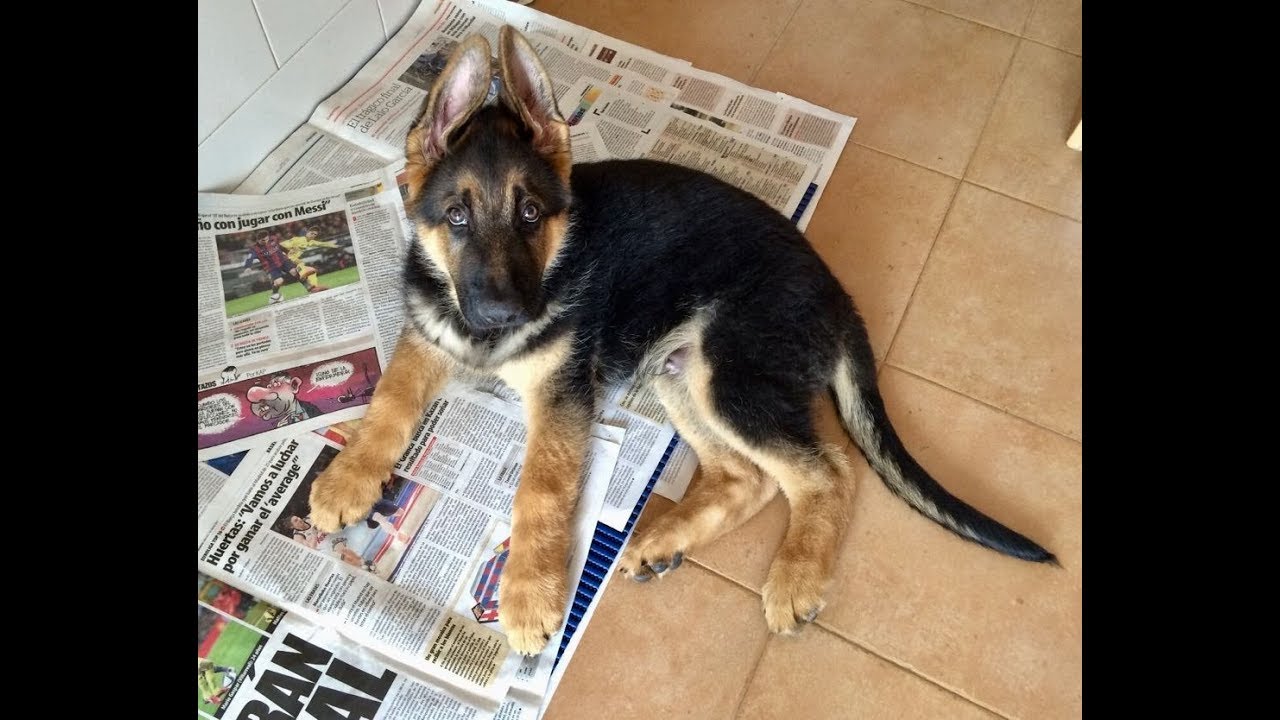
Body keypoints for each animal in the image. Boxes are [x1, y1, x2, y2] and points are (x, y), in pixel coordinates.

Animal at [309, 28, 1049, 653]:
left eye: (530, 213)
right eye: (456, 216)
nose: (500, 314)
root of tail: (839, 295)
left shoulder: (560, 392)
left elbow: (540, 490)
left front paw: (527, 595)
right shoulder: (426, 339)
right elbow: (389, 401)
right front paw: (347, 476)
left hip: (729, 371)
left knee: (827, 471)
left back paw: (795, 580)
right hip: (678, 369)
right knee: (749, 476)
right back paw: (664, 539)